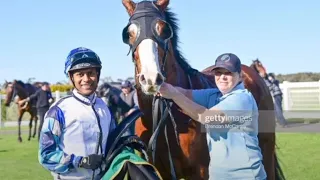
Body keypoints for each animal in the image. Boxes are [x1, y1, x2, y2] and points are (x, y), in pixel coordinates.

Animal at [120, 0, 284, 179]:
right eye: (129, 34)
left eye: (164, 30)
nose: (150, 78)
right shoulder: (159, 169)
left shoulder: (201, 170)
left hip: (266, 146)